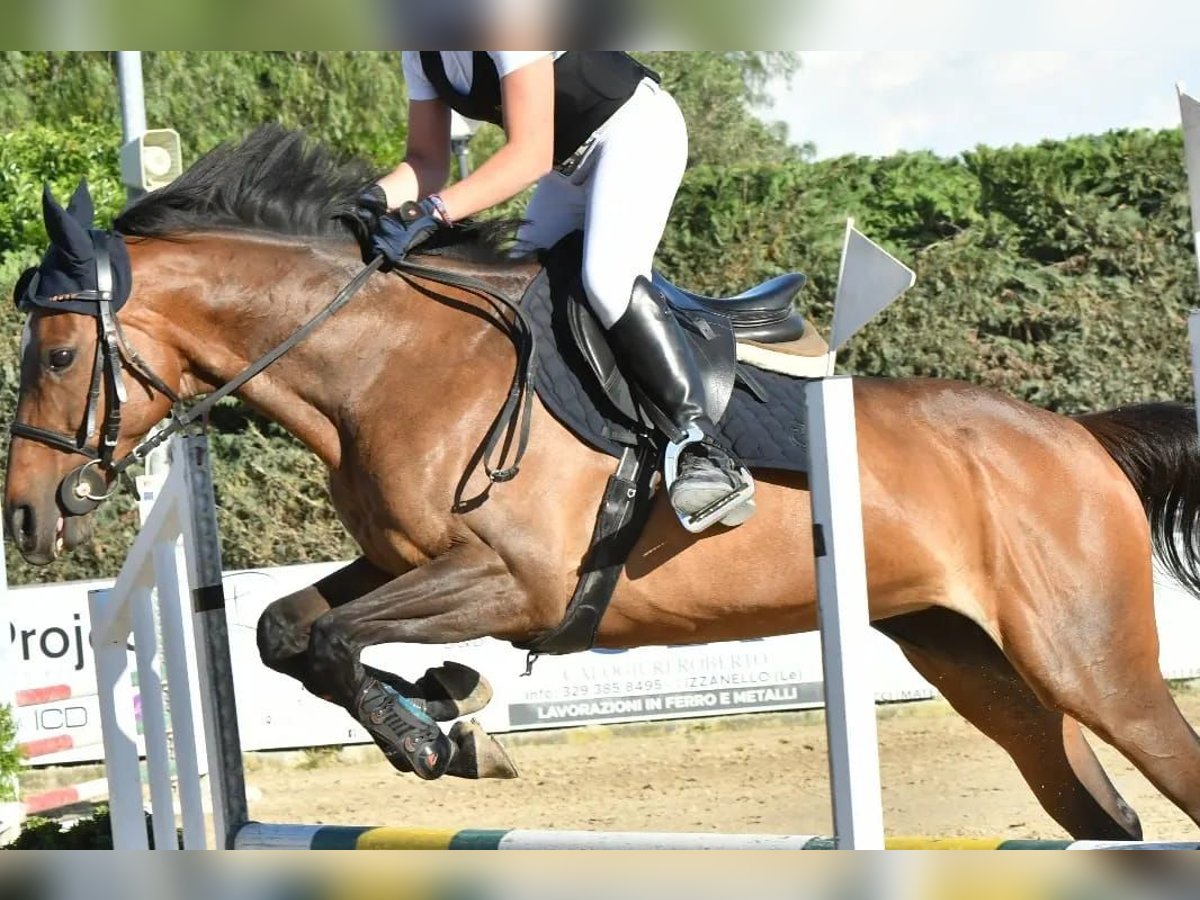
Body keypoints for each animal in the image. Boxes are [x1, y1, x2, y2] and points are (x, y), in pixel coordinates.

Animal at [7, 128, 1200, 844]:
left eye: (57, 356)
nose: (24, 515)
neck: (385, 361)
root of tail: (1074, 438)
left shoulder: (516, 581)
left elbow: (332, 638)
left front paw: (438, 729)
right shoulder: (405, 560)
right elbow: (288, 629)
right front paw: (448, 707)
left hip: (1090, 662)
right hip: (978, 661)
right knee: (1104, 817)